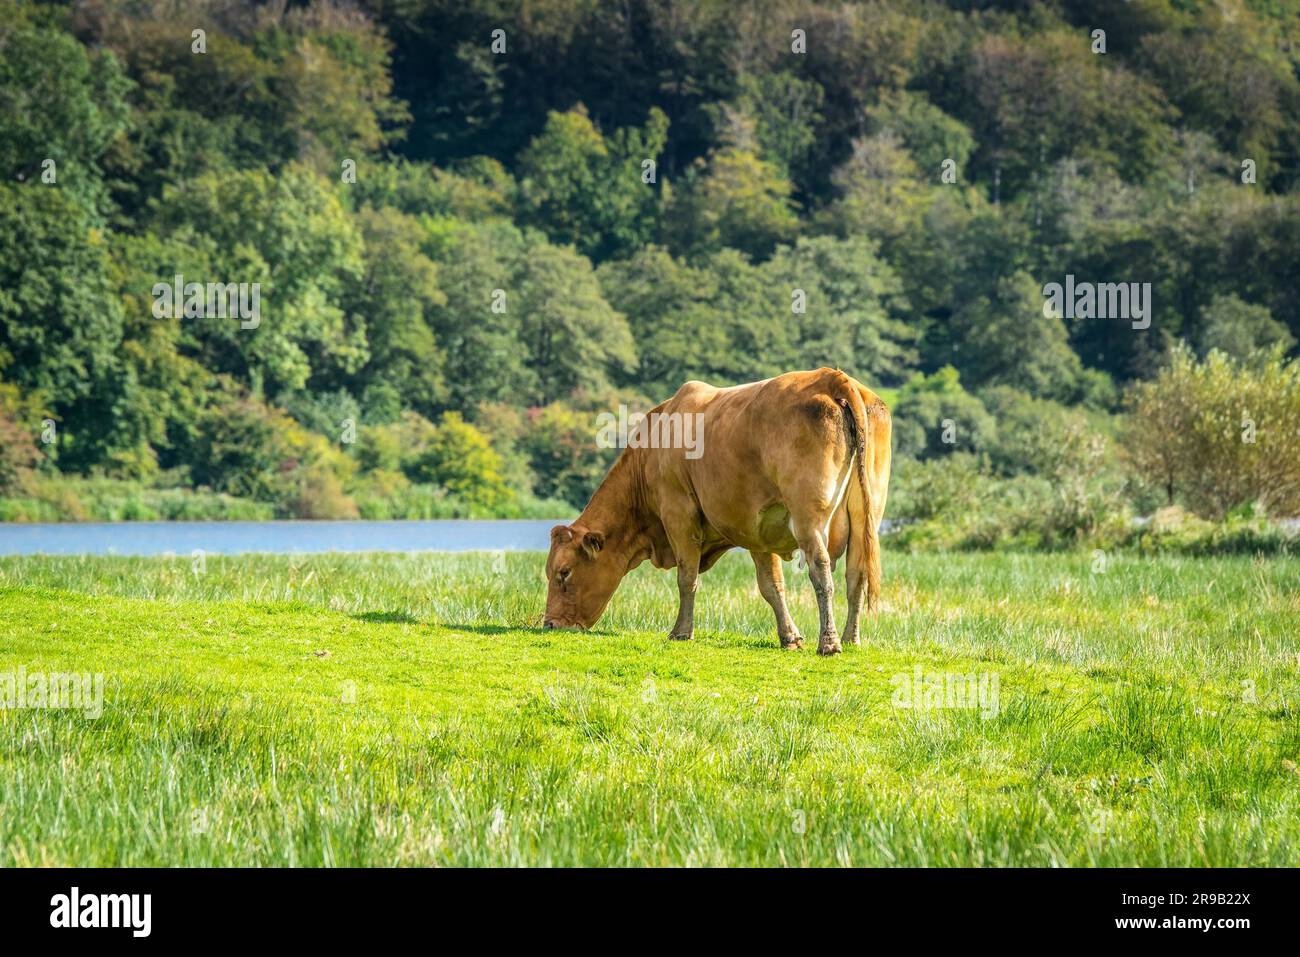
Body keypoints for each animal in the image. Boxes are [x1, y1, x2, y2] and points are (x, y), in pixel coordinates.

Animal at [540, 366, 894, 650]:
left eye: (563, 573)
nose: (550, 624)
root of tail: (834, 378)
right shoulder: (759, 528)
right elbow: (771, 586)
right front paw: (790, 637)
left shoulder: (678, 514)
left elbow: (687, 577)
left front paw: (681, 632)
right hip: (866, 516)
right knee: (856, 575)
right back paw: (851, 639)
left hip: (809, 517)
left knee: (821, 571)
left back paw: (830, 642)